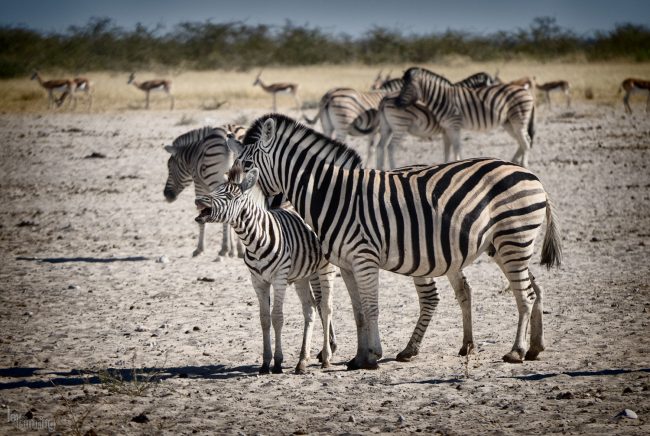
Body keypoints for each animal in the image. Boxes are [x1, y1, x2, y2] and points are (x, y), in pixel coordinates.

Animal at [163, 123, 247, 258]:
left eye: (169, 167)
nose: (166, 195)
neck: (193, 154)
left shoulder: (199, 186)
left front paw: (200, 249)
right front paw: (235, 250)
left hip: (216, 178)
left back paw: (224, 249)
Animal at [192, 162, 334, 372]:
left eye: (230, 196)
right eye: (216, 189)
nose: (198, 201)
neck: (256, 238)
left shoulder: (279, 278)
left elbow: (277, 317)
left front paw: (278, 362)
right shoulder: (258, 280)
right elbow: (264, 319)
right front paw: (266, 362)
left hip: (326, 268)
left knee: (326, 307)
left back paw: (326, 357)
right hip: (302, 275)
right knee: (310, 309)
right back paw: (302, 360)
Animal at [225, 114, 560, 370]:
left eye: (248, 164)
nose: (231, 187)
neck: (332, 194)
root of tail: (532, 175)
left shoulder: (364, 258)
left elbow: (372, 307)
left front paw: (373, 356)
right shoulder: (346, 264)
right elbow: (358, 310)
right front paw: (359, 357)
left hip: (513, 238)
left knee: (525, 294)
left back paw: (516, 351)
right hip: (506, 245)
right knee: (535, 289)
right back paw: (534, 347)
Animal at [392, 67, 536, 167]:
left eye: (407, 87)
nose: (396, 103)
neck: (441, 98)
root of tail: (525, 91)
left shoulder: (454, 125)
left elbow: (456, 148)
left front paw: (457, 162)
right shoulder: (447, 128)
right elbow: (447, 150)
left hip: (518, 119)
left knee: (526, 140)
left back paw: (524, 164)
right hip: (508, 122)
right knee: (521, 140)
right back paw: (514, 161)